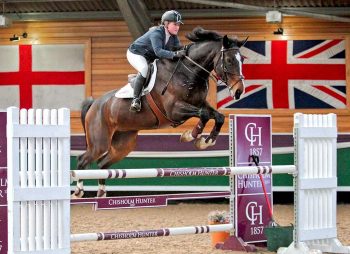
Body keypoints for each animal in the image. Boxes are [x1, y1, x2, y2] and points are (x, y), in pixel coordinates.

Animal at [72, 26, 246, 197]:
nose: (238, 91)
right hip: (100, 142)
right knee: (83, 159)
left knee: (102, 163)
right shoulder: (174, 110)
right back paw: (79, 190)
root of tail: (95, 104)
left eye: (242, 59)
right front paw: (191, 136)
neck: (189, 72)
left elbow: (217, 116)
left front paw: (205, 141)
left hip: (123, 144)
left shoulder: (200, 103)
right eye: (229, 60)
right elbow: (204, 114)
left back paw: (101, 192)